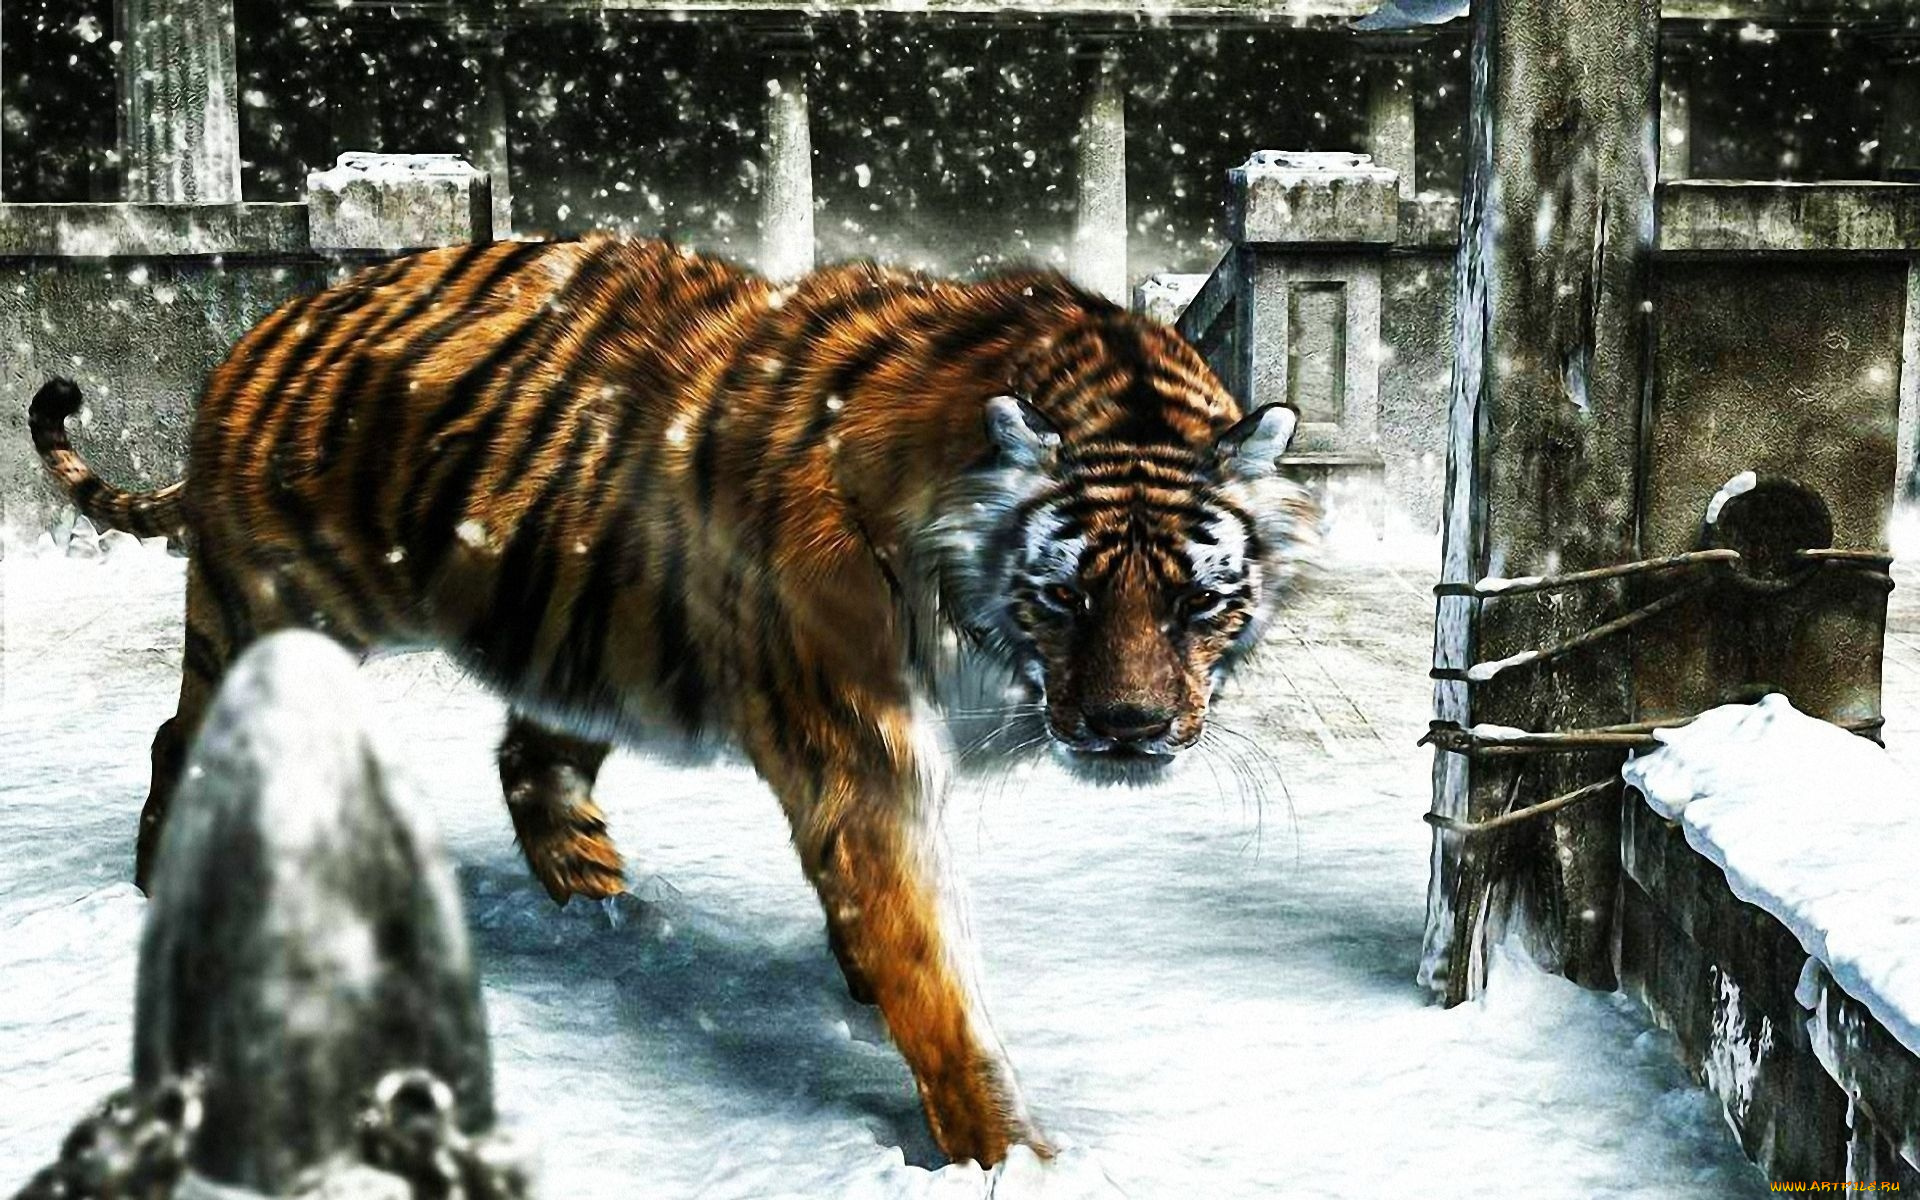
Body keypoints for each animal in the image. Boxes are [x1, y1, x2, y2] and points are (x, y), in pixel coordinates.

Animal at [28, 233, 1315, 1167]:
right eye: (1064, 595)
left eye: (1200, 603)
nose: (1129, 731)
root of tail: (268, 324)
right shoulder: (863, 756)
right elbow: (930, 965)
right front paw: (1015, 1154)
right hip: (281, 606)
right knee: (181, 733)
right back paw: (167, 877)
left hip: (578, 637)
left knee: (530, 763)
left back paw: (607, 917)